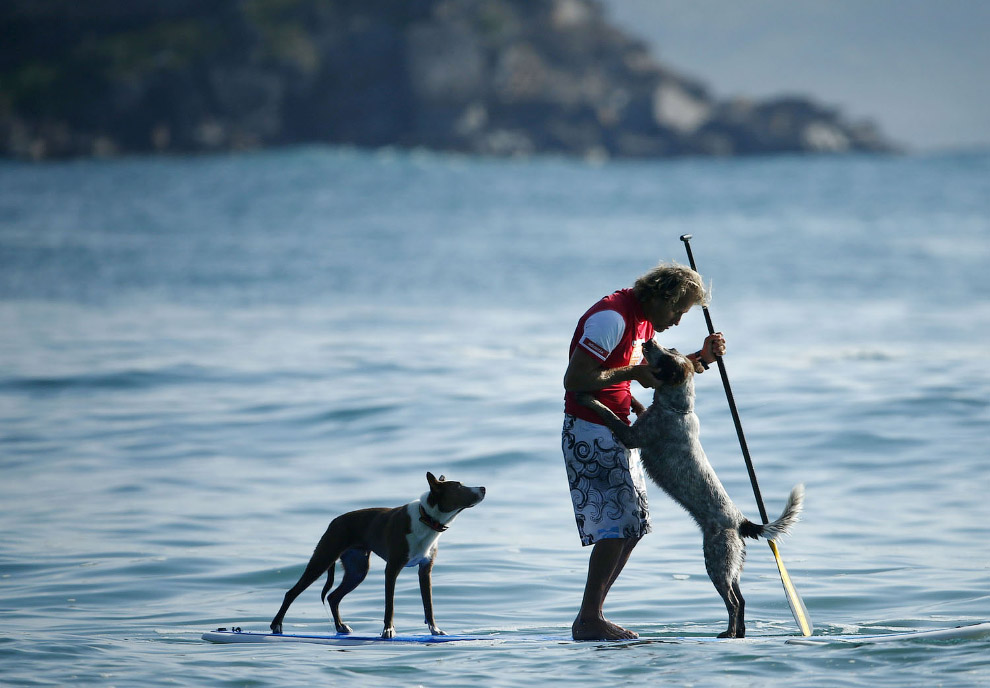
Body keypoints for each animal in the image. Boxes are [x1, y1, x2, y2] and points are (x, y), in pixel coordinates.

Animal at [272, 472, 488, 640]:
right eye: (458, 486)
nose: (484, 488)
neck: (427, 518)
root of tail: (335, 521)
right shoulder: (392, 569)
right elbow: (389, 604)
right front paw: (388, 631)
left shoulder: (425, 570)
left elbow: (429, 605)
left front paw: (435, 630)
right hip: (323, 559)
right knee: (292, 592)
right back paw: (277, 625)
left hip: (357, 570)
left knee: (333, 597)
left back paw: (340, 627)